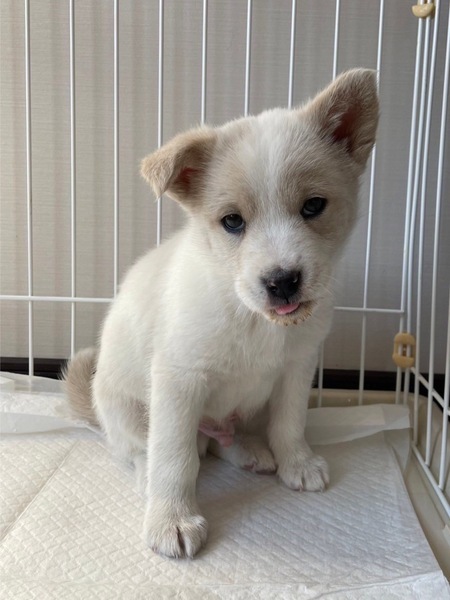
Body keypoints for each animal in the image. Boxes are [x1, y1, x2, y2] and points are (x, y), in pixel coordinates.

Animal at [64, 68, 379, 559]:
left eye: (313, 206)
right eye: (232, 221)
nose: (282, 281)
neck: (252, 318)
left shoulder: (297, 368)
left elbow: (290, 424)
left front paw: (297, 462)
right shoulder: (179, 381)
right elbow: (174, 460)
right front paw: (171, 520)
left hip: (244, 410)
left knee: (218, 445)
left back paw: (249, 451)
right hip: (125, 409)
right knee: (146, 451)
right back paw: (147, 478)